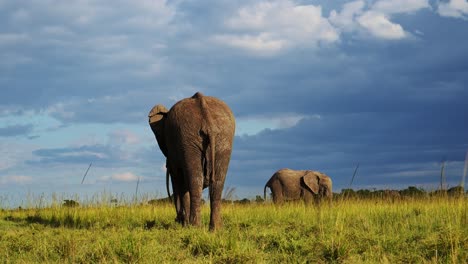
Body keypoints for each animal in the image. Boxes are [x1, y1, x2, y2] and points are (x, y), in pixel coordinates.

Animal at [149, 93, 236, 231]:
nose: (177, 219)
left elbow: (178, 181)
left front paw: (184, 224)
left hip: (189, 137)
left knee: (193, 181)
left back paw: (194, 227)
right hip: (222, 137)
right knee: (216, 182)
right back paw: (215, 229)